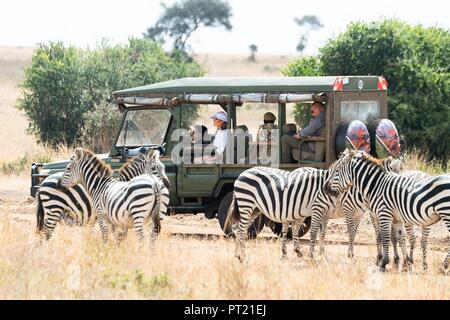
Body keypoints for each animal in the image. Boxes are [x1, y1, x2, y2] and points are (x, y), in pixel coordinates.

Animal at [36, 150, 170, 240]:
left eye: (164, 167)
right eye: (154, 168)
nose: (167, 184)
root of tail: (43, 182)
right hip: (53, 209)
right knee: (46, 232)